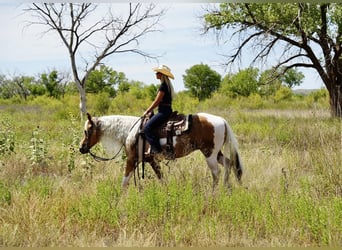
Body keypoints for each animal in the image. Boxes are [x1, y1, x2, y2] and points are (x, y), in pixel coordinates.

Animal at [78, 112, 242, 188]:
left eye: (87, 131)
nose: (81, 148)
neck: (130, 131)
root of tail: (222, 120)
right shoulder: (151, 161)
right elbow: (162, 179)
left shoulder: (132, 160)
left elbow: (124, 182)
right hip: (216, 153)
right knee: (229, 164)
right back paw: (227, 188)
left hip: (210, 154)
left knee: (216, 173)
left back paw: (213, 195)